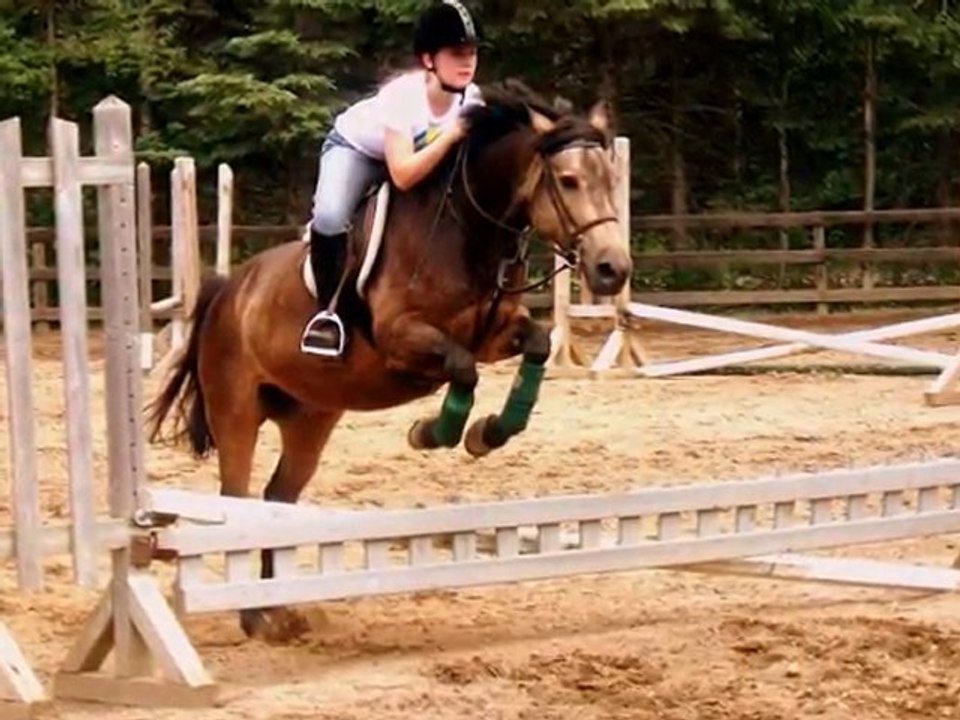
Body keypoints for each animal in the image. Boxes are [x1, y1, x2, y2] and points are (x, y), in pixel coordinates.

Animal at [146, 81, 633, 643]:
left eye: (611, 179)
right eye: (569, 181)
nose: (613, 269)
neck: (468, 230)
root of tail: (229, 289)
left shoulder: (497, 333)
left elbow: (534, 344)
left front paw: (488, 432)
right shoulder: (403, 340)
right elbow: (462, 368)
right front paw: (431, 432)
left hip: (310, 417)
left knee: (276, 498)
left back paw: (277, 609)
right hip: (237, 414)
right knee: (238, 497)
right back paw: (252, 618)